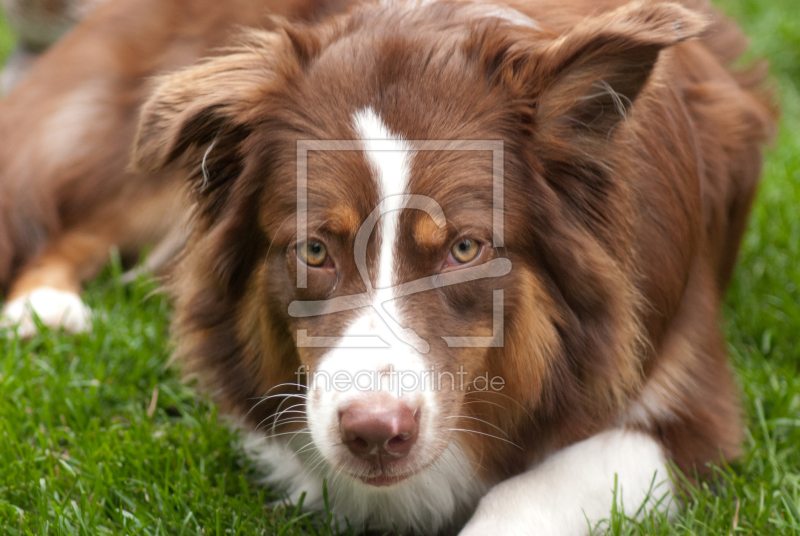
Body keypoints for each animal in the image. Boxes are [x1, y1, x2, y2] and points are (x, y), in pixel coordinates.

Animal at [0, 0, 776, 532]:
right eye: (314, 250)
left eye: (466, 249)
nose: (375, 433)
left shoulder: (691, 412)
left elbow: (528, 490)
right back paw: (43, 307)